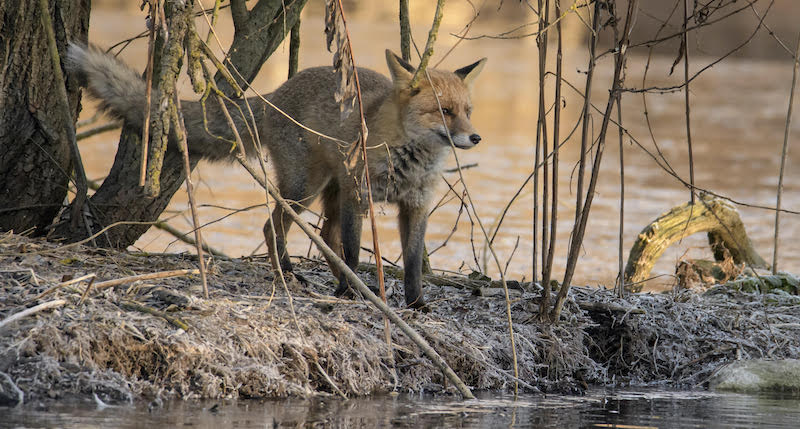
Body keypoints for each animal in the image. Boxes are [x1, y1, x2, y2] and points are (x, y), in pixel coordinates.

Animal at [65, 44, 484, 308]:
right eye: (444, 111)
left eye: (467, 111)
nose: (476, 137)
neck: (408, 160)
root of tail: (275, 95)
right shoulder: (358, 195)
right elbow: (352, 249)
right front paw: (356, 294)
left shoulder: (415, 205)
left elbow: (412, 263)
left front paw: (416, 304)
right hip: (304, 188)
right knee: (274, 227)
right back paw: (292, 274)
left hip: (325, 191)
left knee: (324, 235)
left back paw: (331, 281)